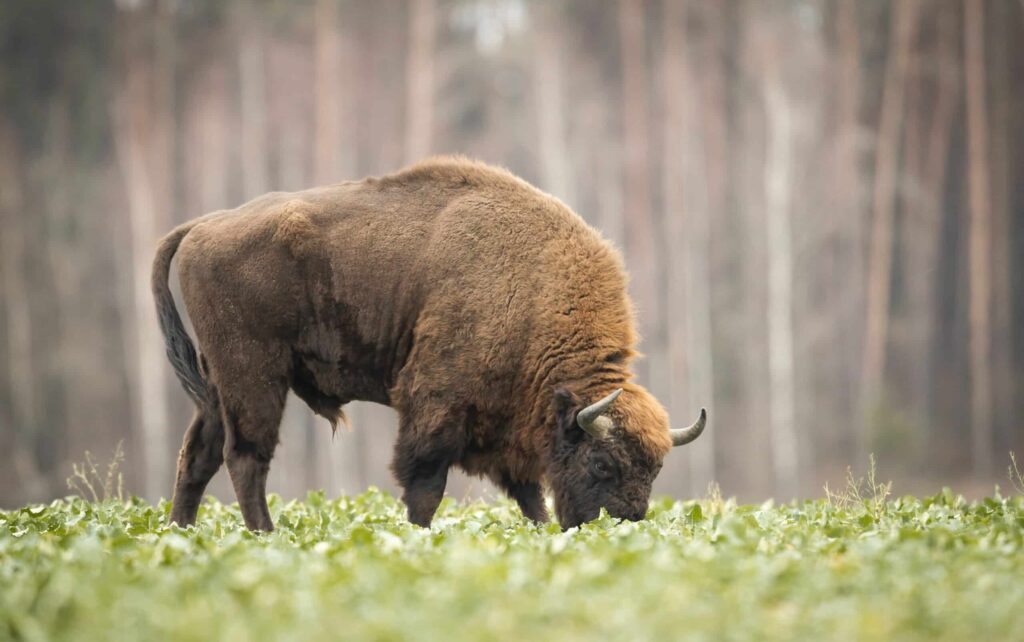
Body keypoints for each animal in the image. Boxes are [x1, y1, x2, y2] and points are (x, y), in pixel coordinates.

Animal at [152, 157, 707, 531]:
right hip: (254, 375)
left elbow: (528, 495)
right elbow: (425, 487)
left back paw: (182, 533)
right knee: (245, 456)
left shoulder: (508, 432)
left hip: (217, 382)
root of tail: (206, 224)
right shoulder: (435, 409)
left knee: (198, 456)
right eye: (602, 463)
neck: (535, 290)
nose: (624, 524)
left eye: (655, 469)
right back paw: (264, 536)